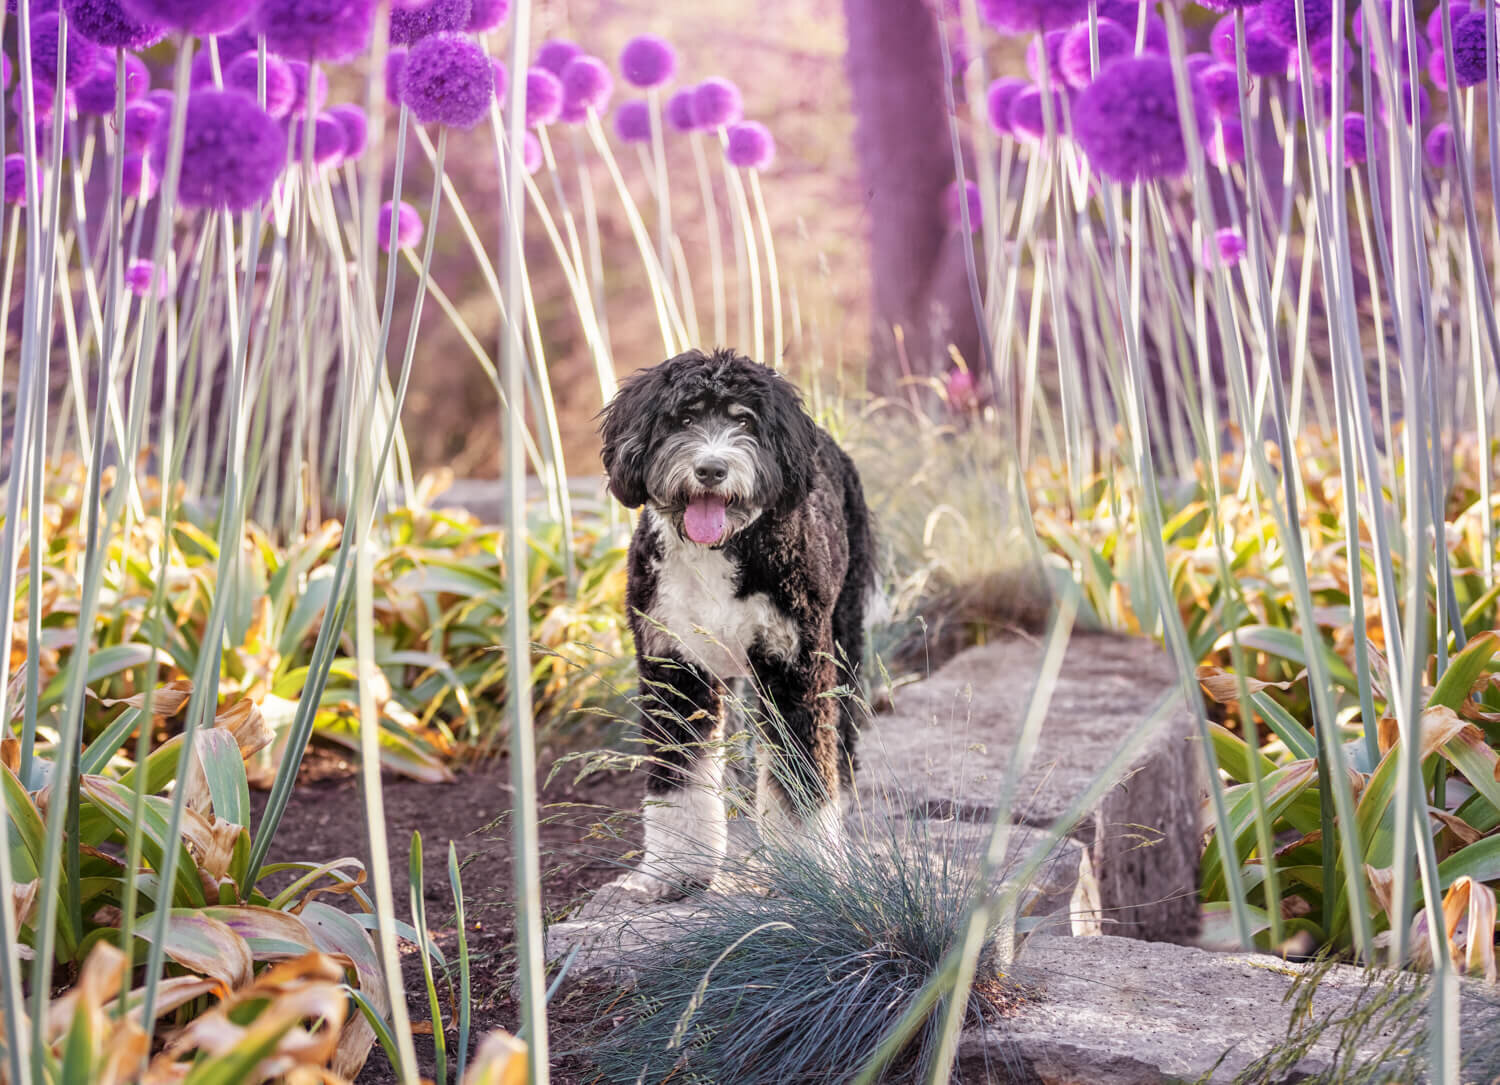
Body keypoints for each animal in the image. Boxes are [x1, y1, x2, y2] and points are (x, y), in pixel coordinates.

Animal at [600, 349, 876, 900]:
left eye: (744, 421)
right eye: (683, 419)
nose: (711, 468)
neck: (717, 550)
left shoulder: (794, 665)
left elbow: (801, 774)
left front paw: (810, 868)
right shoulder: (673, 667)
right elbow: (679, 779)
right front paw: (674, 870)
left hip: (844, 632)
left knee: (841, 736)